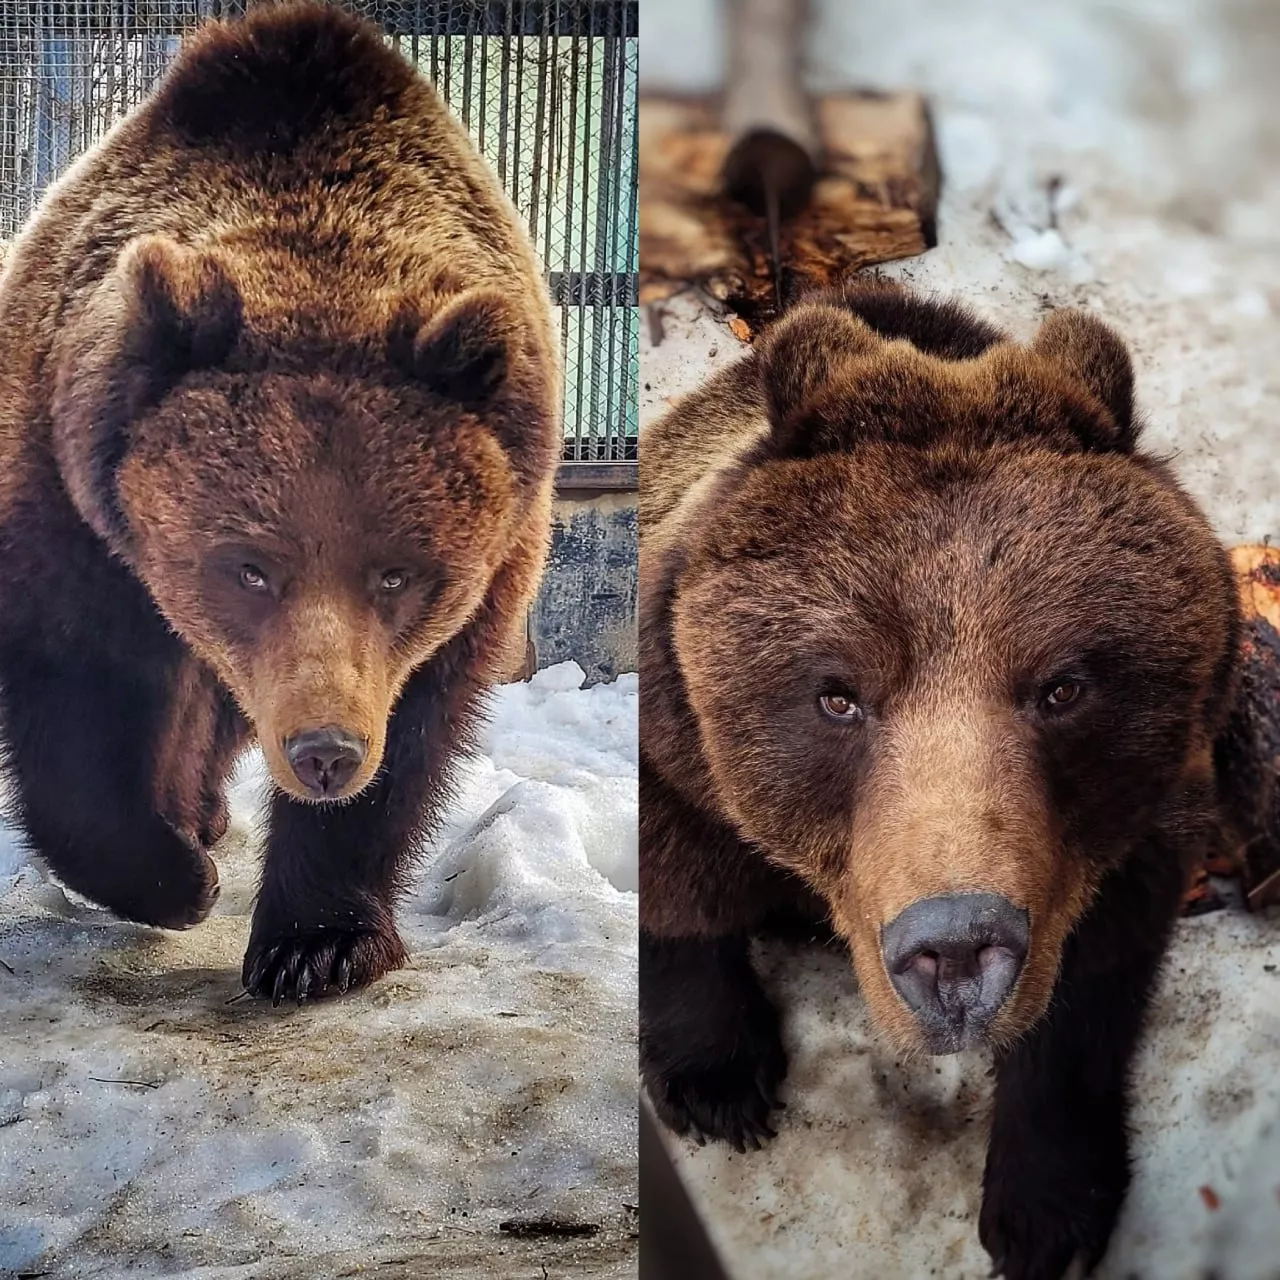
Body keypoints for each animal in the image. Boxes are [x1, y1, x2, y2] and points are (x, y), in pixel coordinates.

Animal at [0, 2, 565, 998]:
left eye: (397, 573)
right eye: (247, 567)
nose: (325, 751)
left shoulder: (484, 572)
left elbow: (414, 727)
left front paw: (316, 943)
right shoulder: (75, 509)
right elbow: (79, 688)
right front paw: (174, 877)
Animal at [645, 282, 1244, 1280]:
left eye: (1062, 686)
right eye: (837, 694)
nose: (956, 950)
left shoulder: (1144, 807)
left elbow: (1089, 977)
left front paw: (1045, 1211)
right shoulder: (679, 739)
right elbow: (676, 884)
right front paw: (717, 1083)